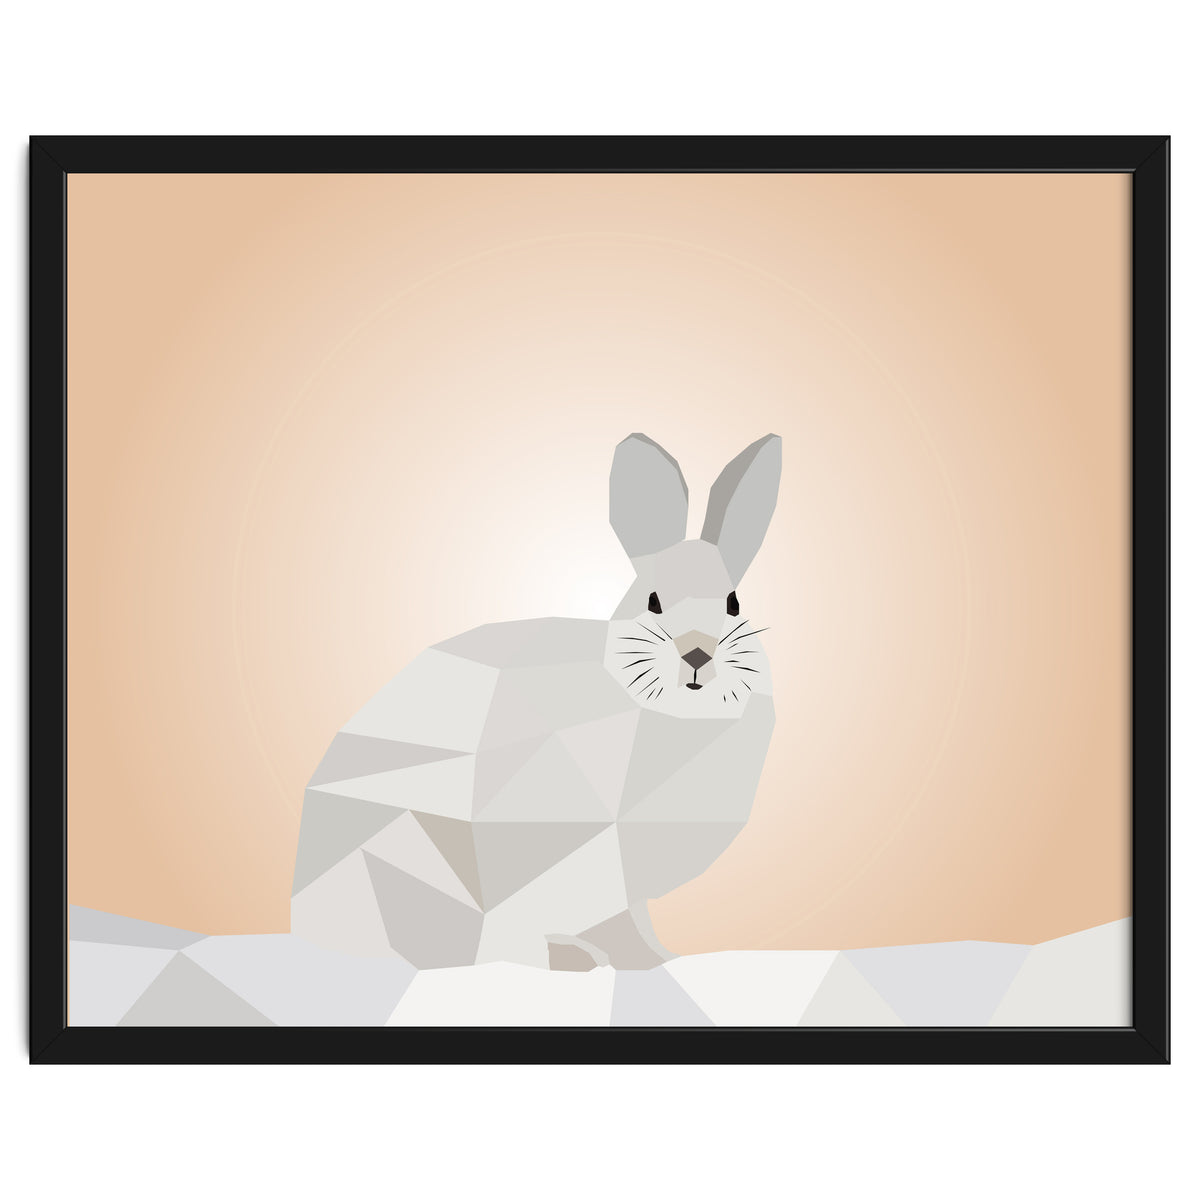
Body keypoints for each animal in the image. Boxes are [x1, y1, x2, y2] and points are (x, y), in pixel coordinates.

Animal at [290, 432, 781, 971]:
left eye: (733, 604)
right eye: (652, 601)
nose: (698, 653)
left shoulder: (623, 888)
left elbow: (632, 926)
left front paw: (658, 960)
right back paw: (565, 959)